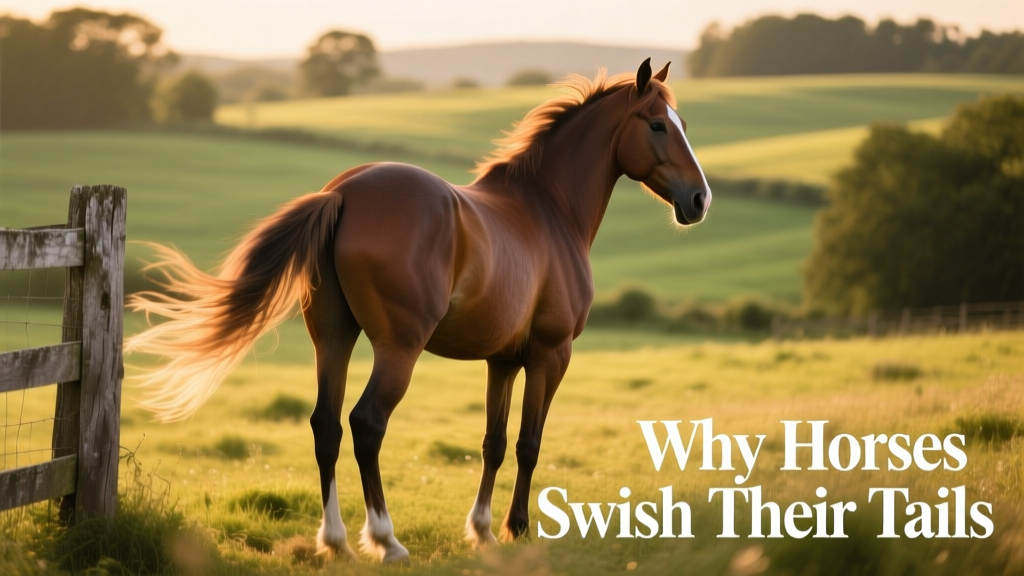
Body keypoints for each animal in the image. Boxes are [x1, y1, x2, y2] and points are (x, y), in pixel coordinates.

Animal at [125, 58, 711, 562]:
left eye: (680, 122)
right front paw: (515, 528)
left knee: (326, 426)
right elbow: (529, 443)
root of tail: (344, 194)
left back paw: (336, 541)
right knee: (366, 424)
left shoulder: (503, 361)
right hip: (398, 348)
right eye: (657, 125)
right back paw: (385, 540)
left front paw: (481, 530)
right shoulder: (551, 355)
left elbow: (494, 443)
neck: (549, 210)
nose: (700, 199)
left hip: (333, 340)